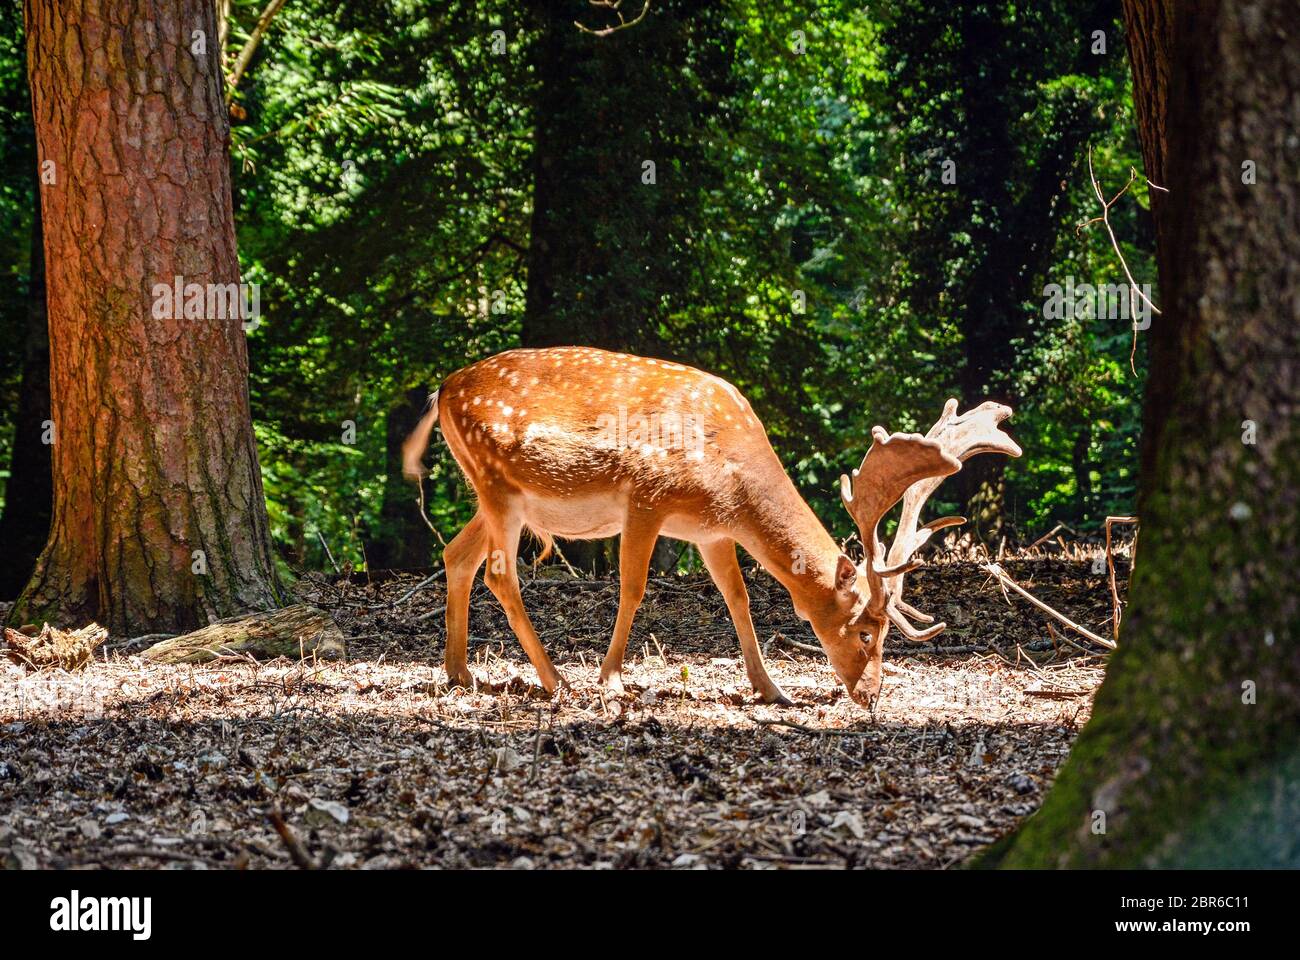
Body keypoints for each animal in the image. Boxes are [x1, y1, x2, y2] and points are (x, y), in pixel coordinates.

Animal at [402, 346, 1020, 708]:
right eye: (867, 632)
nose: (872, 695)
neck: (731, 483)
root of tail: (443, 389)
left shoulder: (712, 532)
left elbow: (738, 597)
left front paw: (771, 689)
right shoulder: (646, 497)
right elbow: (633, 587)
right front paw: (612, 680)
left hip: (497, 496)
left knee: (456, 554)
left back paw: (459, 673)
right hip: (498, 485)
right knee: (499, 575)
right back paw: (559, 681)